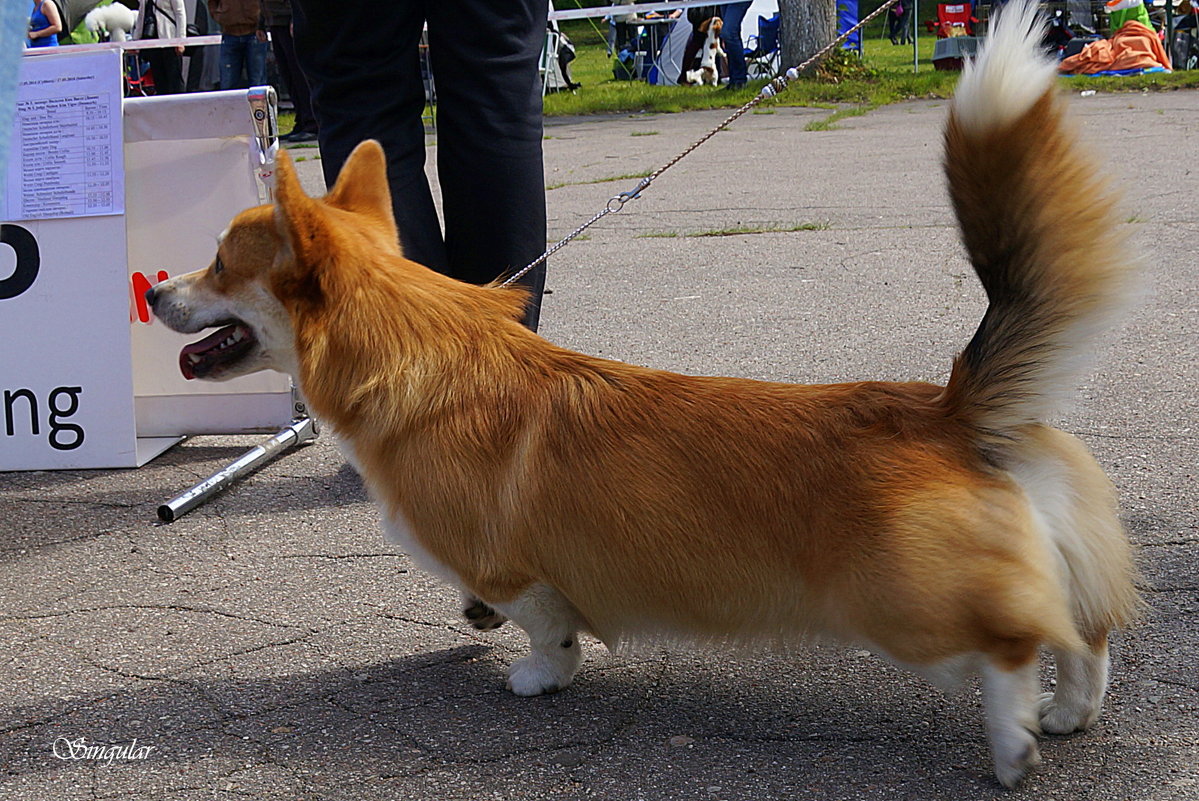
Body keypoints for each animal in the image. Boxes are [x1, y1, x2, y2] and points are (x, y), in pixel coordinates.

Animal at [145, 0, 1136, 786]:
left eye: (221, 265)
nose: (152, 291)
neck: (413, 350)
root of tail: (951, 411)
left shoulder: (520, 571)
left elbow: (544, 626)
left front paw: (537, 676)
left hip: (903, 605)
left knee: (1012, 643)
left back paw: (1013, 741)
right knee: (1083, 633)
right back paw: (1066, 713)